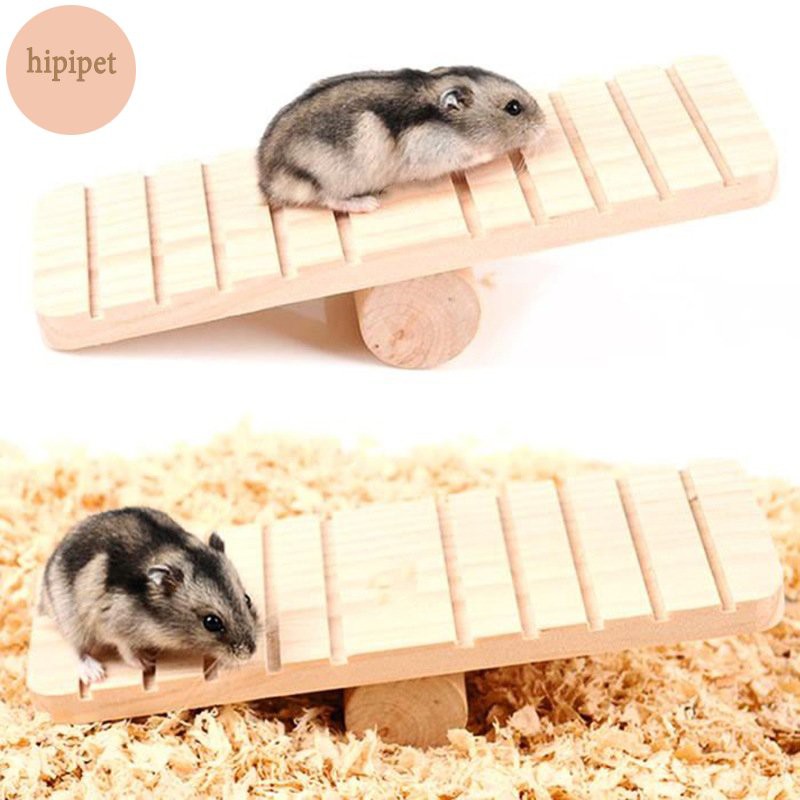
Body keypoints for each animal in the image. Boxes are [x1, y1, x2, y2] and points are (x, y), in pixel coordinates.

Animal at [40, 507, 258, 685]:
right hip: (70, 619)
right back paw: (95, 673)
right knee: (78, 649)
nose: (250, 653)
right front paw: (147, 662)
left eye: (247, 599)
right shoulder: (114, 628)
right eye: (211, 622)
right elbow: (126, 650)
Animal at [257, 66, 546, 213]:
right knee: (328, 199)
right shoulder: (433, 155)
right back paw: (369, 203)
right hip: (323, 178)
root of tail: (267, 183)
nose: (544, 126)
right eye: (513, 108)